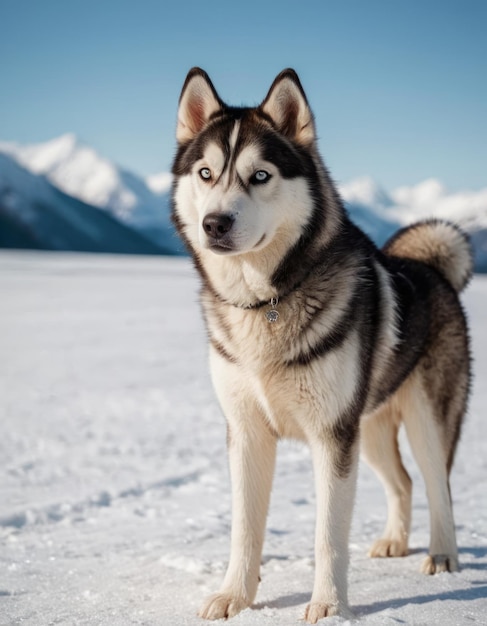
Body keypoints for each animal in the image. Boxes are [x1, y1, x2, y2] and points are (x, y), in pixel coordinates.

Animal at [172, 67, 472, 620]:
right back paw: (395, 541)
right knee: (403, 482)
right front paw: (234, 596)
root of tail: (431, 267)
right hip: (369, 427)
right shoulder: (247, 431)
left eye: (260, 176)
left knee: (436, 483)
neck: (266, 301)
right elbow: (245, 527)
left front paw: (329, 607)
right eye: (205, 173)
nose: (214, 223)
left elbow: (328, 535)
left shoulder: (332, 434)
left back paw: (442, 555)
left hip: (424, 417)